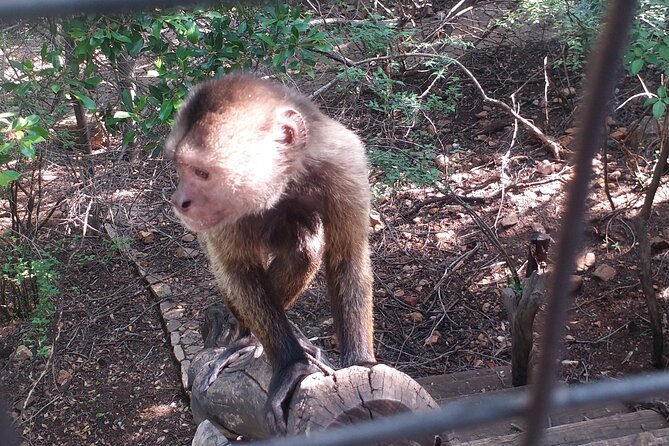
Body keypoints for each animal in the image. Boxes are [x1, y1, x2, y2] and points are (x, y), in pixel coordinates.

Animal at [164, 73, 375, 435]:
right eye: (181, 168)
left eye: (201, 173)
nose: (179, 201)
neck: (284, 182)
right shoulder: (224, 211)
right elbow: (238, 270)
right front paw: (291, 366)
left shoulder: (345, 164)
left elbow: (347, 256)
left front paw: (360, 363)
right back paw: (248, 339)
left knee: (304, 248)